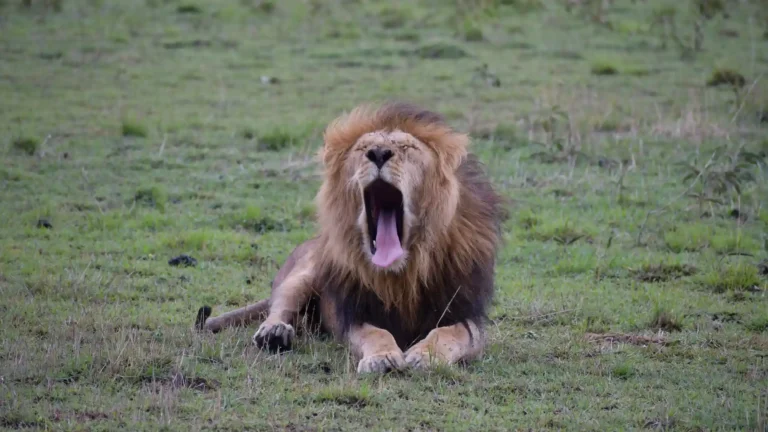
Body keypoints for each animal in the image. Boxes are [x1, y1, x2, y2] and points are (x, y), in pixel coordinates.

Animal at [197, 102, 504, 373]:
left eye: (407, 148)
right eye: (362, 148)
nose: (378, 153)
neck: (401, 275)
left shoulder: (466, 312)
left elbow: (447, 333)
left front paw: (424, 356)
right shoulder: (354, 314)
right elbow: (376, 334)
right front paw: (381, 358)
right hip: (303, 273)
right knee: (280, 306)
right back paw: (274, 332)